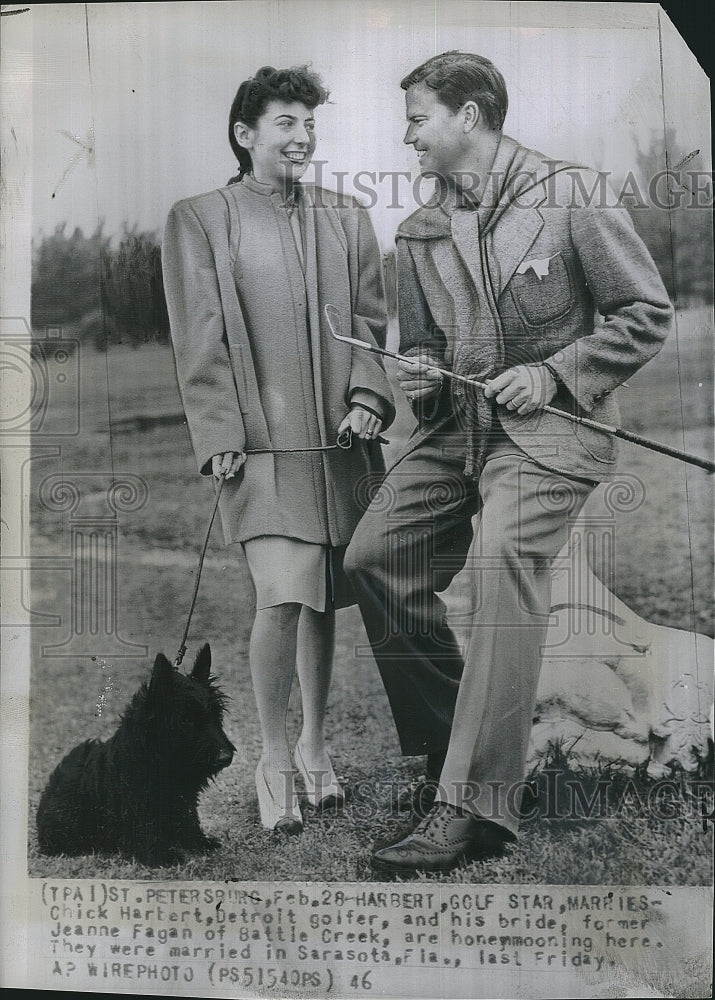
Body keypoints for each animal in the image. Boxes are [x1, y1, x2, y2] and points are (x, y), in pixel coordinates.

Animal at [37, 644, 235, 864]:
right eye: (185, 720)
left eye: (215, 714)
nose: (226, 757)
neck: (158, 756)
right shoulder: (139, 802)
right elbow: (145, 829)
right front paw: (160, 855)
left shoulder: (184, 800)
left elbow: (188, 819)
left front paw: (198, 842)